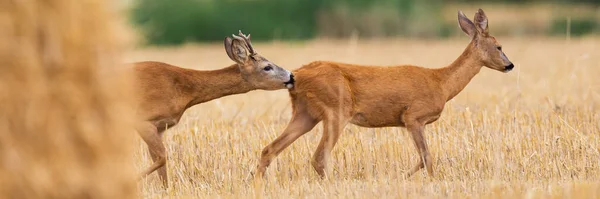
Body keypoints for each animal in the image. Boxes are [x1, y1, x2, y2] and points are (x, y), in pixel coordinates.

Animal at [135, 31, 296, 187]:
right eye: (267, 67)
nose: (291, 76)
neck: (183, 89)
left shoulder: (161, 127)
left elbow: (162, 167)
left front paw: (166, 189)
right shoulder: (143, 120)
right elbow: (162, 157)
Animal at [255, 8, 512, 178]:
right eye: (499, 46)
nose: (510, 65)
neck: (442, 83)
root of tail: (296, 74)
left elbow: (422, 158)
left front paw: (403, 177)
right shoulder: (413, 117)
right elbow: (427, 157)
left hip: (305, 113)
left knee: (269, 149)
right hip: (337, 109)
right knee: (318, 157)